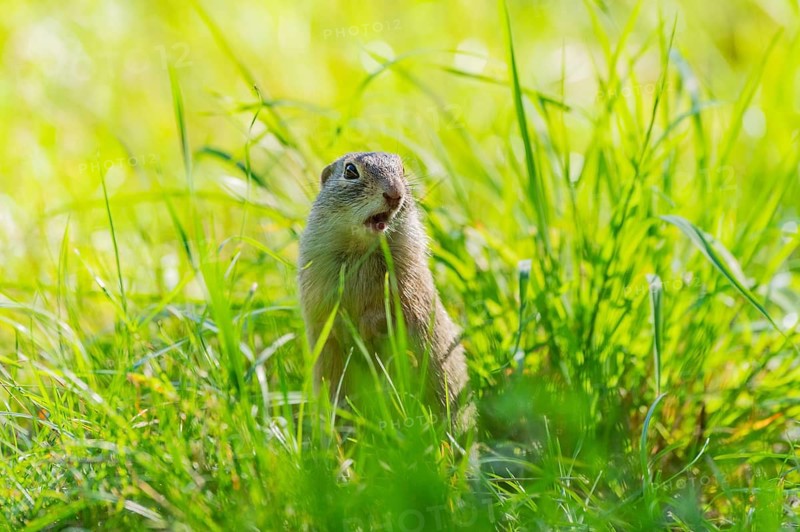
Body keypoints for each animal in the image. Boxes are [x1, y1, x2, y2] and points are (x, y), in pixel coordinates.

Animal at [298, 152, 473, 431]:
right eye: (350, 171)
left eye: (402, 170)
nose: (395, 193)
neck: (363, 249)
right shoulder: (318, 286)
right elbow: (327, 317)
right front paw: (348, 331)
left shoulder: (407, 282)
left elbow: (392, 312)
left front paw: (365, 330)